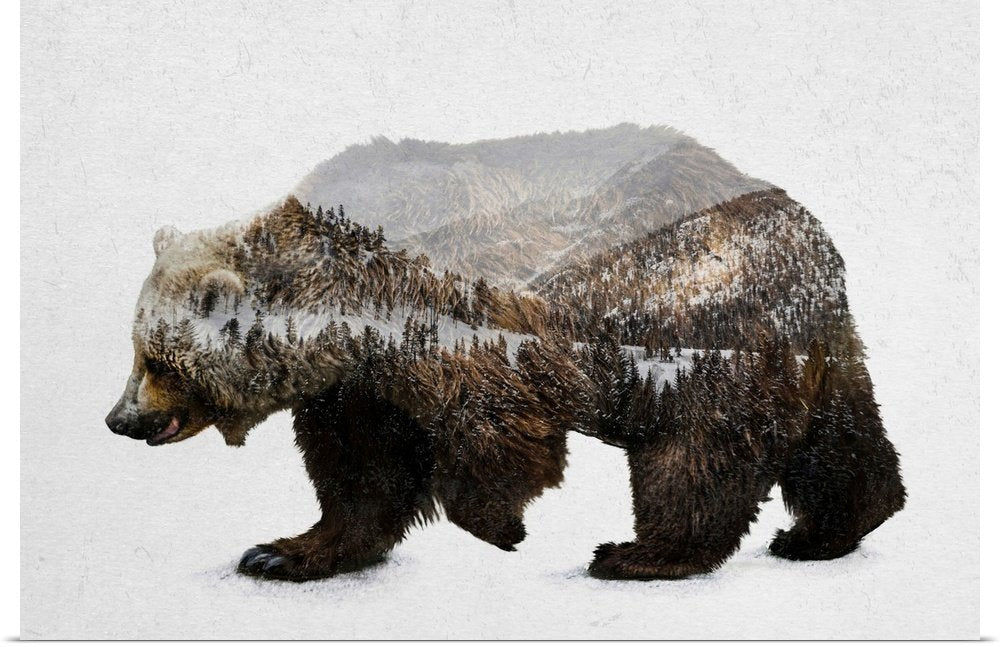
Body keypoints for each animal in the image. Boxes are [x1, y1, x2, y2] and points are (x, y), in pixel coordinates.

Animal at [106, 192, 905, 581]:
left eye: (159, 360)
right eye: (135, 349)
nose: (119, 418)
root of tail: (815, 242)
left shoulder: (463, 347)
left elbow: (498, 440)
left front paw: (503, 527)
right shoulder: (358, 389)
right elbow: (360, 478)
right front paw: (281, 552)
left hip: (703, 342)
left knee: (696, 456)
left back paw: (638, 555)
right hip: (817, 353)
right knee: (842, 440)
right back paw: (825, 531)